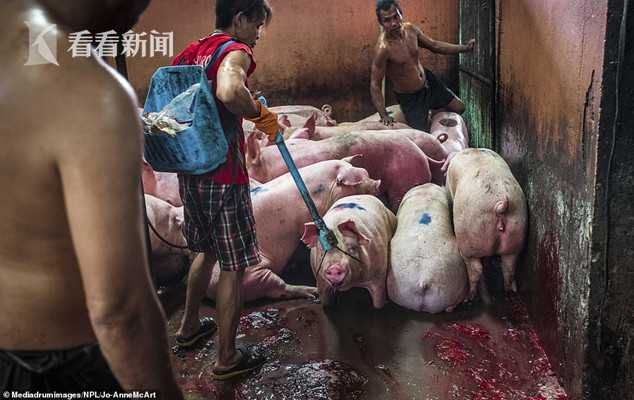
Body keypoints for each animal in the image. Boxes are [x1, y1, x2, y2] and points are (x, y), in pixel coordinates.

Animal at [204, 160, 382, 302]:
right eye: (359, 181)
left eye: (365, 172)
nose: (378, 183)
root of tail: (211, 287)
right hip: (251, 272)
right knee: (278, 288)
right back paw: (312, 292)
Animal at [446, 148, 528, 300]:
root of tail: (500, 204)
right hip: (517, 232)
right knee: (509, 267)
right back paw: (510, 291)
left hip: (470, 237)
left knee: (476, 269)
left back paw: (469, 297)